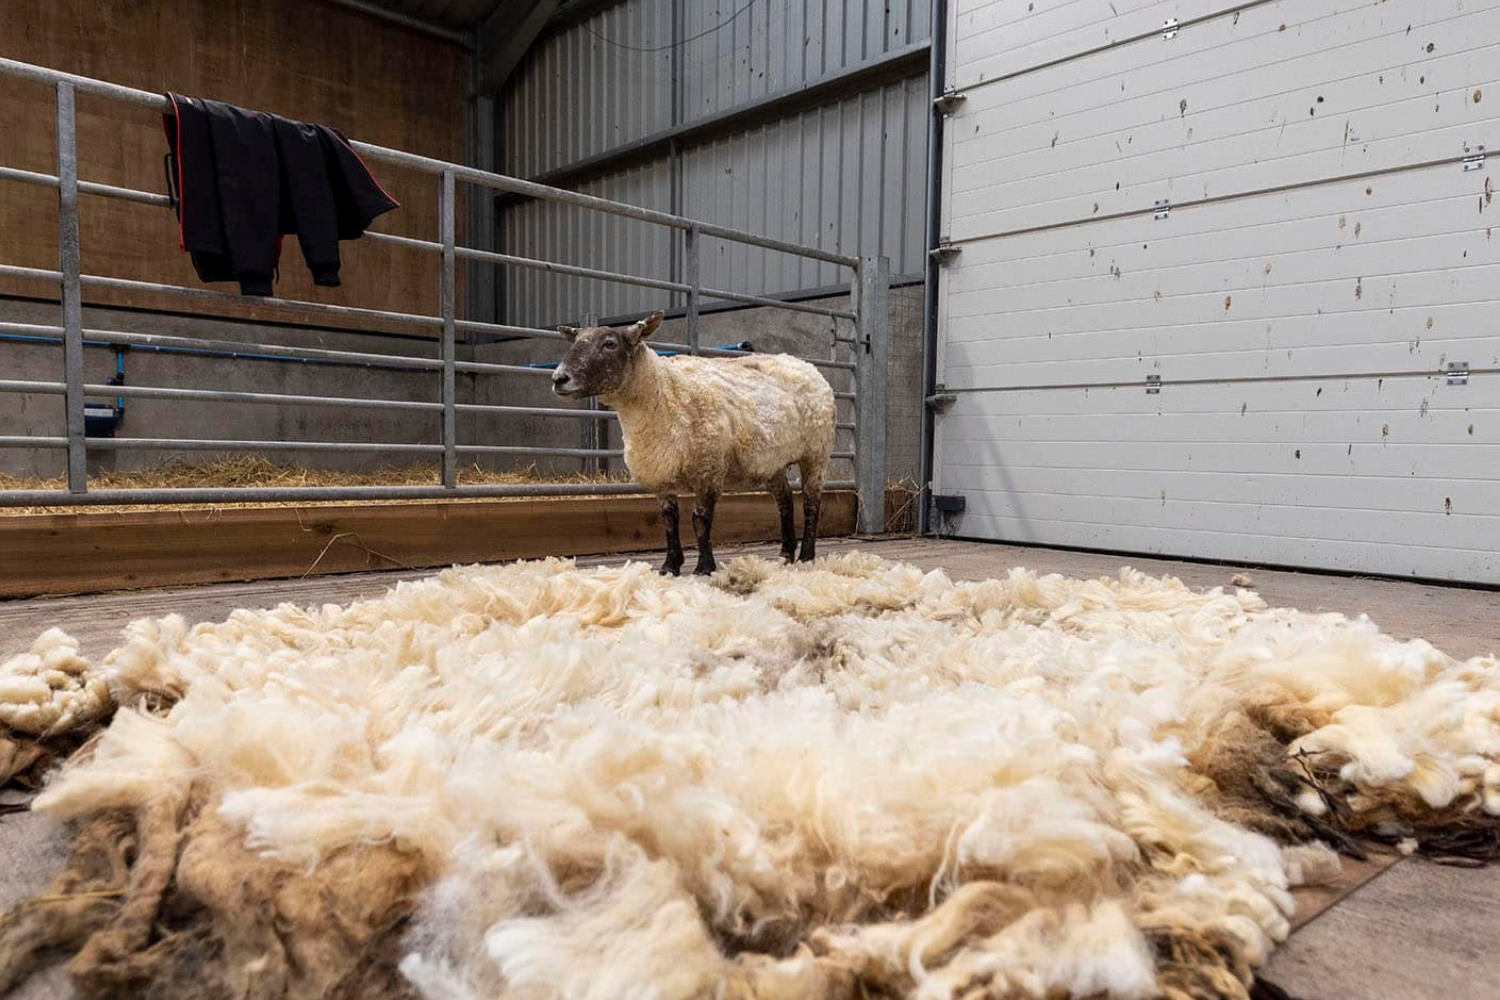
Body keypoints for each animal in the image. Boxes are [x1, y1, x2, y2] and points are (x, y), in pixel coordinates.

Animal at [551, 310, 836, 576]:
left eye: (610, 343)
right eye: (575, 341)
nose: (558, 378)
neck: (664, 393)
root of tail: (804, 364)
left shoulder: (708, 470)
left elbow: (700, 519)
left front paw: (704, 566)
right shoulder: (661, 475)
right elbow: (668, 520)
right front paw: (669, 566)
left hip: (817, 452)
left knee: (811, 502)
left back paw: (806, 555)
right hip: (773, 460)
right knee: (785, 500)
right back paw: (785, 554)